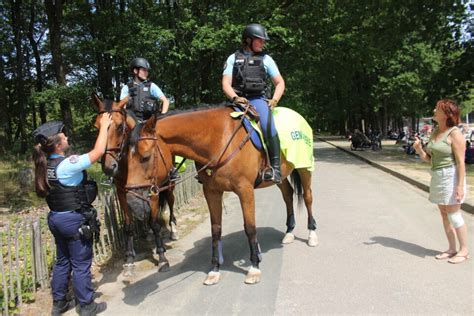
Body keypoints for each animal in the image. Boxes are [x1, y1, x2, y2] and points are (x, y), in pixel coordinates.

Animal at [91, 95, 177, 276]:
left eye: (119, 126)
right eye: (97, 127)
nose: (108, 167)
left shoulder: (154, 191)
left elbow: (155, 223)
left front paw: (162, 257)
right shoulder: (122, 193)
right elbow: (128, 226)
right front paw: (129, 258)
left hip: (169, 185)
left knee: (171, 204)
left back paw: (173, 231)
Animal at [124, 105, 316, 284]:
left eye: (145, 157)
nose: (132, 204)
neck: (219, 140)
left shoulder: (245, 190)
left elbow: (250, 227)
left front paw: (254, 267)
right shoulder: (212, 192)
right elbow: (216, 229)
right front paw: (215, 269)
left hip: (305, 167)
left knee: (307, 197)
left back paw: (312, 235)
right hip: (281, 176)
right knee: (288, 195)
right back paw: (289, 232)